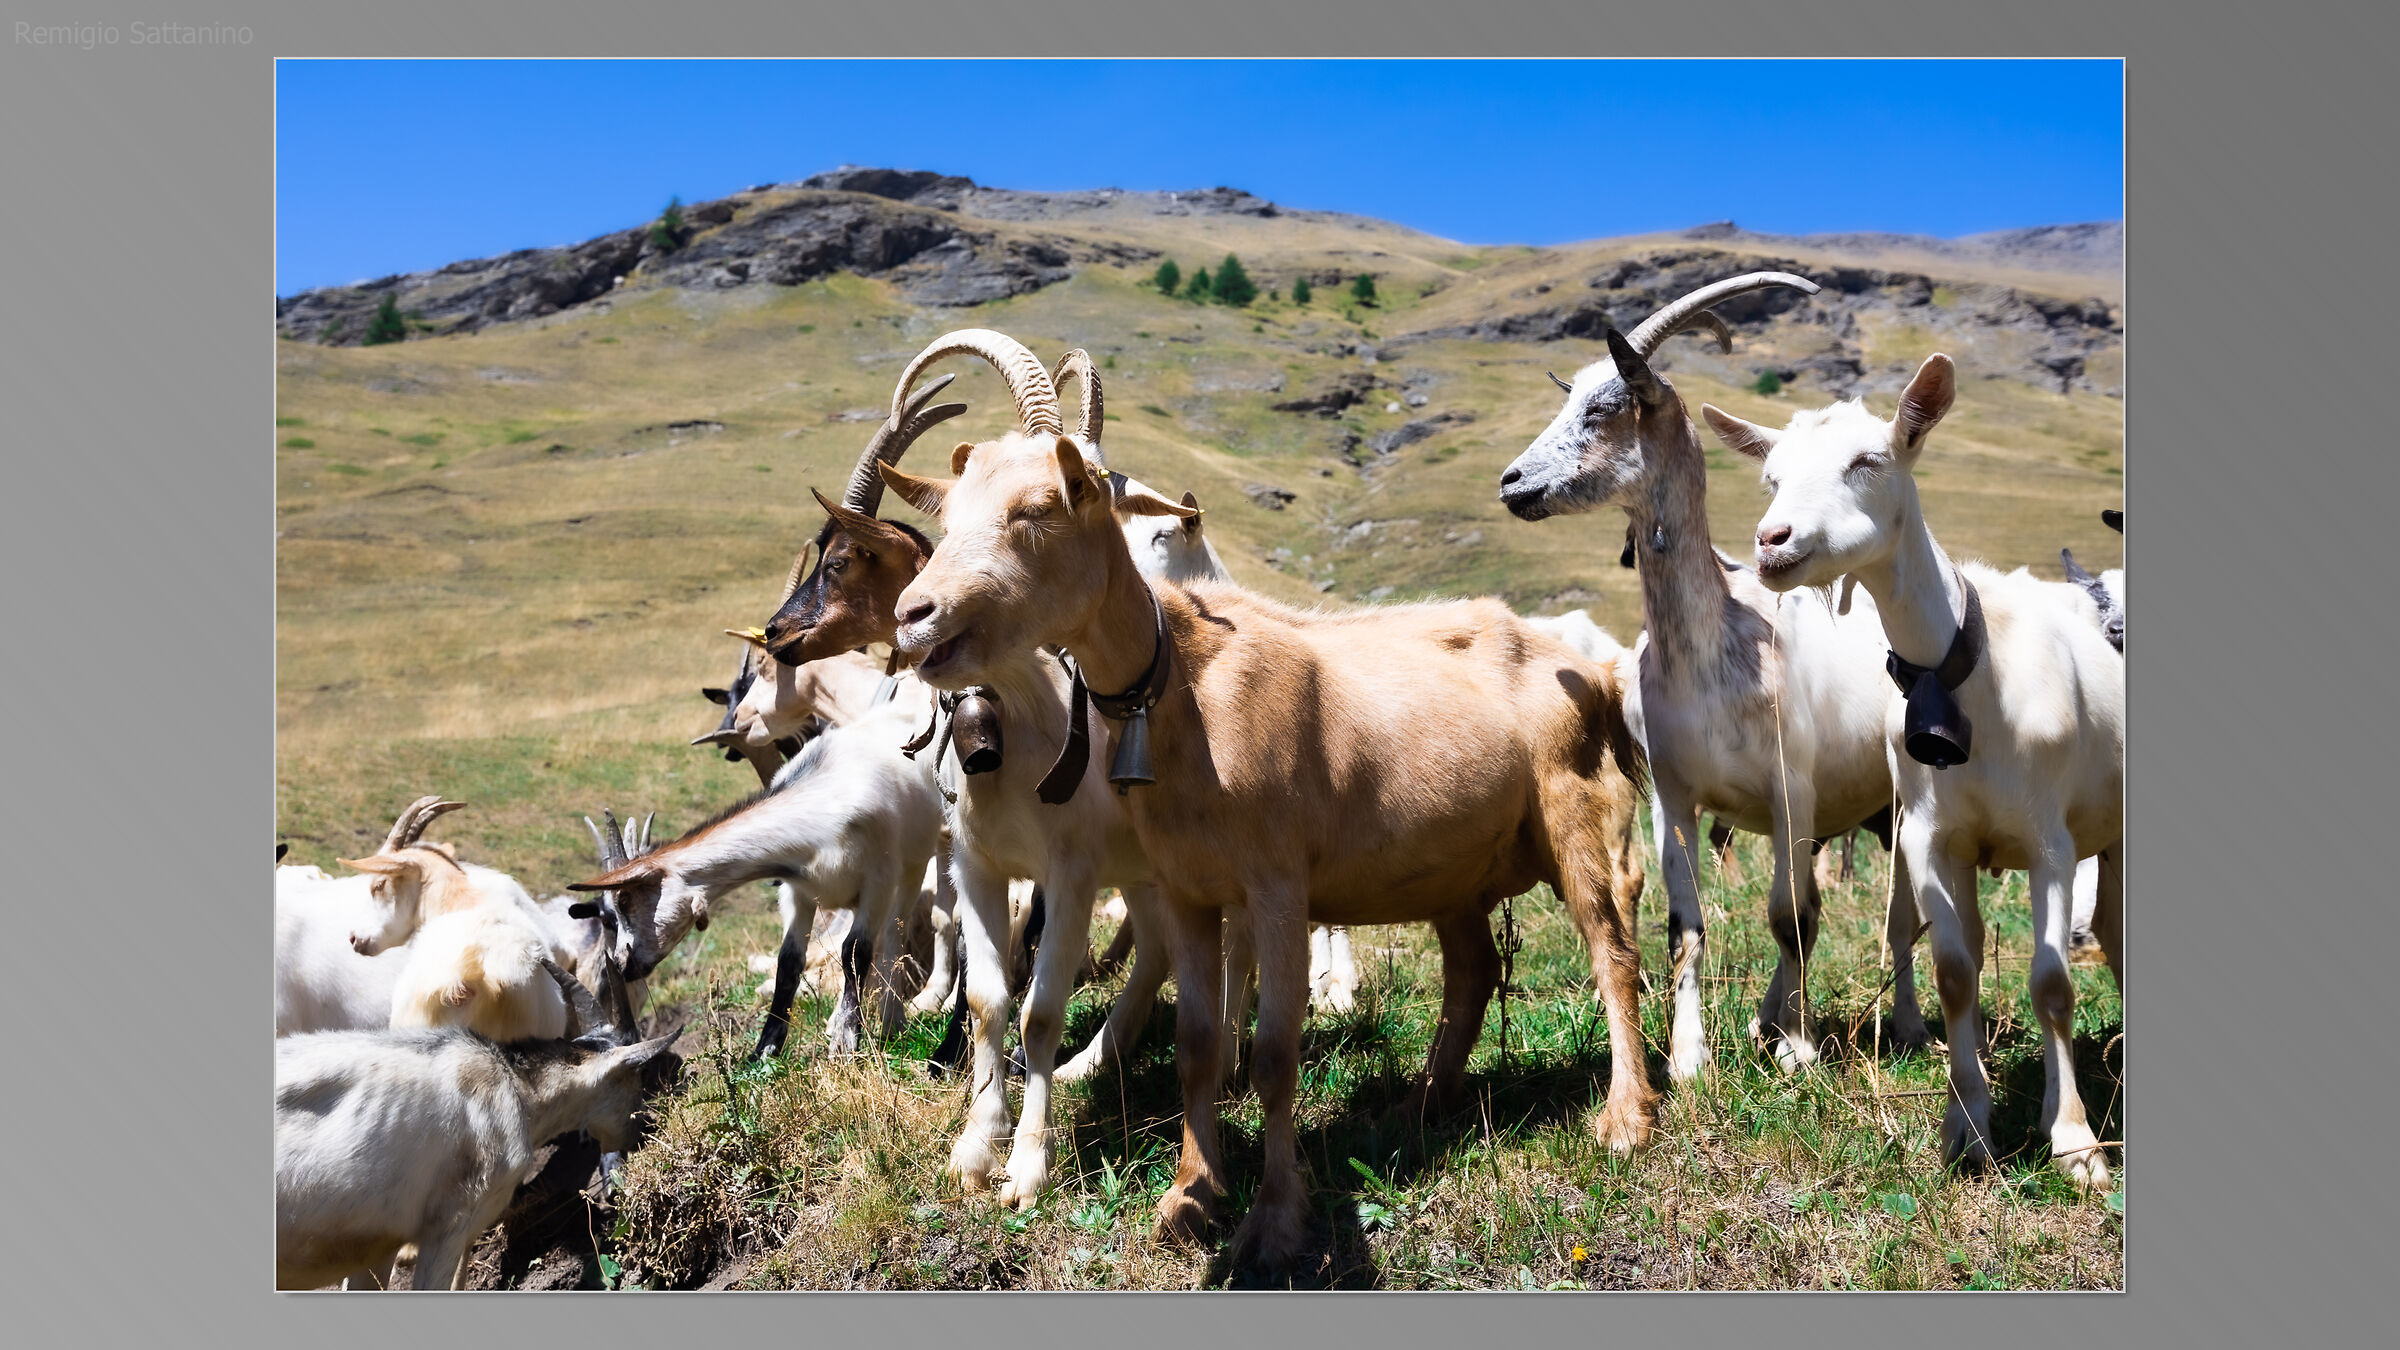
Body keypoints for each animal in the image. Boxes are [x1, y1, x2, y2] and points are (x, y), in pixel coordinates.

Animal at [877, 328, 1651, 1275]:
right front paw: (1190, 1197)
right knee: (1473, 969)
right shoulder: (1185, 890)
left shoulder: (1277, 888)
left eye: (1043, 506)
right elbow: (1198, 1047)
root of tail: (1593, 667)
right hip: (1452, 870)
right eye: (948, 516)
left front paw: (1276, 1221)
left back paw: (1627, 1118)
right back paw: (1421, 1106)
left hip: (1576, 816)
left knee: (1612, 951)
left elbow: (1277, 1055)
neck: (1184, 688)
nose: (916, 615)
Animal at [1501, 273, 1932, 1076]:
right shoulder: (1674, 797)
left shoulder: (1792, 789)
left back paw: (1909, 1026)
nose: (1512, 482)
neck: (1711, 655)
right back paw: (1766, 1018)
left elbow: (1792, 920)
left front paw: (1800, 1050)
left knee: (1899, 918)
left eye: (1604, 408)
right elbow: (1688, 927)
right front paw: (1689, 1058)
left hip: (1895, 802)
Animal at [1734, 352, 2123, 1187]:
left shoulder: (2050, 844)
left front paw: (2076, 1142)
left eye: (1867, 460)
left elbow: (2051, 983)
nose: (1772, 541)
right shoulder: (1933, 840)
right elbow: (1955, 972)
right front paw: (1968, 1128)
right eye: (1771, 476)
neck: (1966, 669)